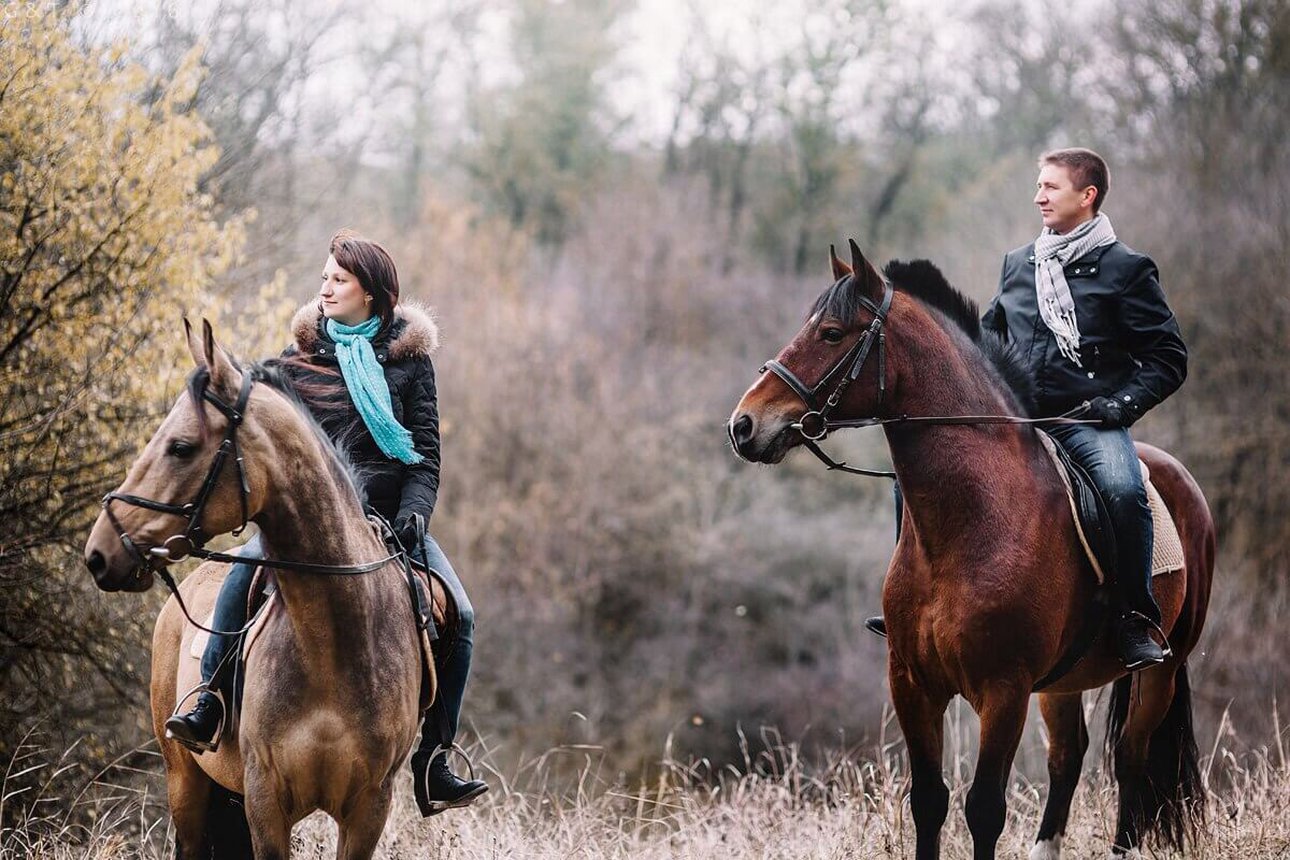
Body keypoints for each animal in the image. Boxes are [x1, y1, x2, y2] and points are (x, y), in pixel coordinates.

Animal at [81, 322, 433, 860]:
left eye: (180, 447)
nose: (99, 552)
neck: (334, 639)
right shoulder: (265, 799)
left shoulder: (369, 808)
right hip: (185, 781)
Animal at [732, 242, 1212, 860]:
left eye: (832, 333)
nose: (744, 425)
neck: (970, 520)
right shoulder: (912, 684)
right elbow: (928, 802)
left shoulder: (1002, 691)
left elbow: (984, 808)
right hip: (1062, 683)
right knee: (1068, 756)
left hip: (1163, 665)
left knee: (1131, 756)